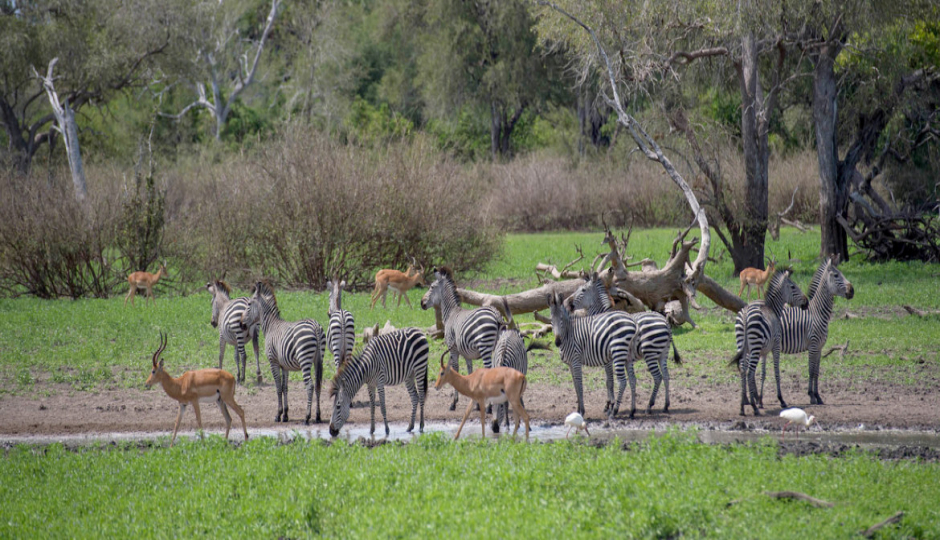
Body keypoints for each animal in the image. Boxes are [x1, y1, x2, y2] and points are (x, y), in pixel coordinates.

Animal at [246, 280, 326, 424]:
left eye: (249, 304)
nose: (241, 322)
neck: (271, 326)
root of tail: (315, 326)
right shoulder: (285, 366)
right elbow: (285, 387)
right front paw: (286, 415)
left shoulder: (273, 362)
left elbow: (278, 387)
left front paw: (278, 415)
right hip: (319, 358)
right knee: (318, 385)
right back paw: (317, 416)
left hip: (304, 358)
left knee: (310, 385)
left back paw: (307, 417)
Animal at [422, 268, 504, 412]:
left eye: (431, 287)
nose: (422, 303)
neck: (451, 313)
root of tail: (495, 313)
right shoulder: (467, 354)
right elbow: (470, 372)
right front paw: (476, 403)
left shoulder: (453, 349)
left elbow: (455, 370)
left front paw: (454, 403)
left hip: (485, 346)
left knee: (489, 370)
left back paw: (489, 407)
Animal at [568, 272, 680, 416]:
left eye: (582, 290)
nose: (568, 304)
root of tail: (665, 321)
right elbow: (612, 380)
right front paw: (611, 404)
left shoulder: (608, 359)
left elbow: (609, 381)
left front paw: (609, 405)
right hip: (663, 353)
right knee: (666, 376)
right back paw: (666, 405)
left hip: (650, 352)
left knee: (658, 377)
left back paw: (649, 405)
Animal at [732, 272, 812, 416]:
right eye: (793, 286)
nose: (806, 302)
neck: (774, 310)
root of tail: (745, 314)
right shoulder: (776, 346)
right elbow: (776, 371)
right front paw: (781, 399)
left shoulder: (763, 351)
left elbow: (763, 373)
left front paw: (760, 400)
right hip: (755, 345)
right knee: (750, 373)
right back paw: (754, 407)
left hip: (743, 345)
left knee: (743, 371)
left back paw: (742, 407)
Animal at [780, 258, 852, 404]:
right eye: (836, 275)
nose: (852, 290)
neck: (817, 314)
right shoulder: (813, 346)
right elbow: (811, 370)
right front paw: (811, 396)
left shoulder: (819, 348)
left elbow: (817, 372)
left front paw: (818, 396)